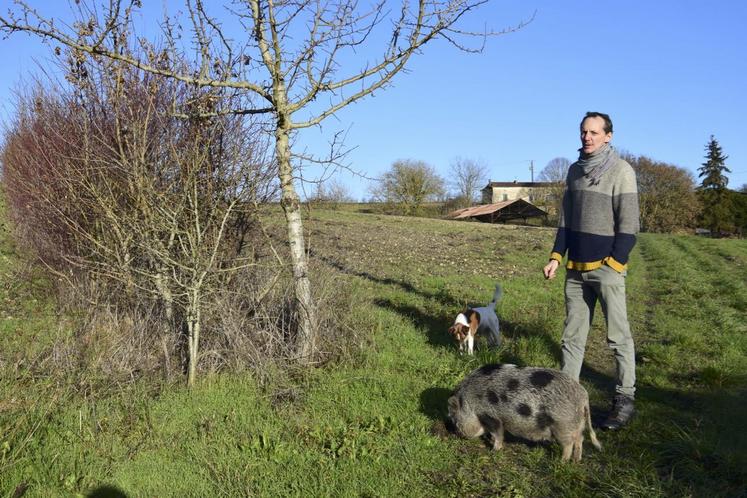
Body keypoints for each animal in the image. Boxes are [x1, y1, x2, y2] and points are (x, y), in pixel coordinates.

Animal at [450, 364, 600, 462]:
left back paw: (561, 462)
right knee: (580, 438)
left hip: (563, 425)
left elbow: (498, 433)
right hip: (575, 425)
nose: (456, 433)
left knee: (569, 443)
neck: (468, 401)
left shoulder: (490, 415)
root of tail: (583, 396)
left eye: (454, 418)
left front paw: (494, 450)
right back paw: (576, 460)